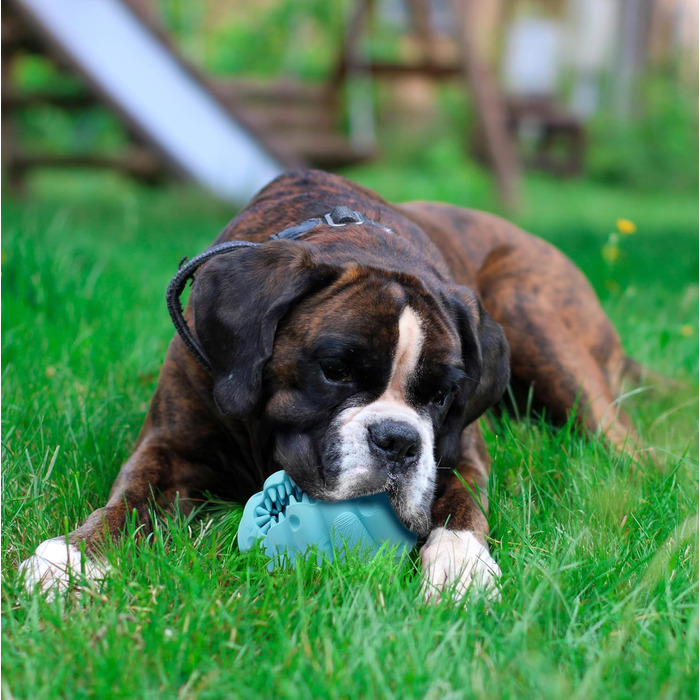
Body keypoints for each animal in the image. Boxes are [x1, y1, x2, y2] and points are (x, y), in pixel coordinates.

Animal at [19, 170, 636, 600]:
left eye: (441, 395)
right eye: (334, 370)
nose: (398, 441)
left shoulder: (460, 450)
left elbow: (461, 499)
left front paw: (461, 563)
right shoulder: (170, 447)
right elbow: (130, 500)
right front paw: (71, 559)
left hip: (531, 314)